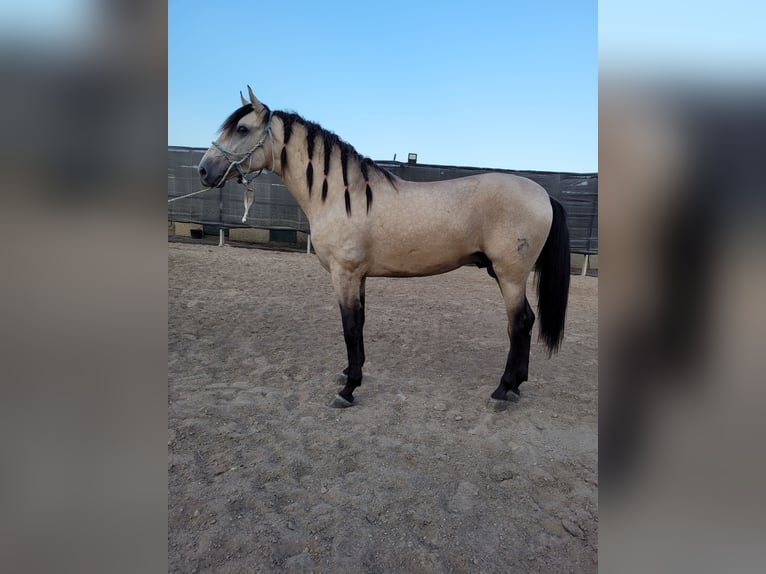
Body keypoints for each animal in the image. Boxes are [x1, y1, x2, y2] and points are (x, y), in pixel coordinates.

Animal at [198, 87, 570, 408]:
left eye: (242, 128)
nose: (203, 170)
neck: (341, 195)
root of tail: (543, 195)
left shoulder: (344, 274)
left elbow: (349, 327)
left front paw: (348, 390)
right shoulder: (359, 275)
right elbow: (360, 323)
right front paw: (350, 373)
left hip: (510, 276)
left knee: (518, 324)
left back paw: (502, 390)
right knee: (527, 321)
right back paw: (516, 386)